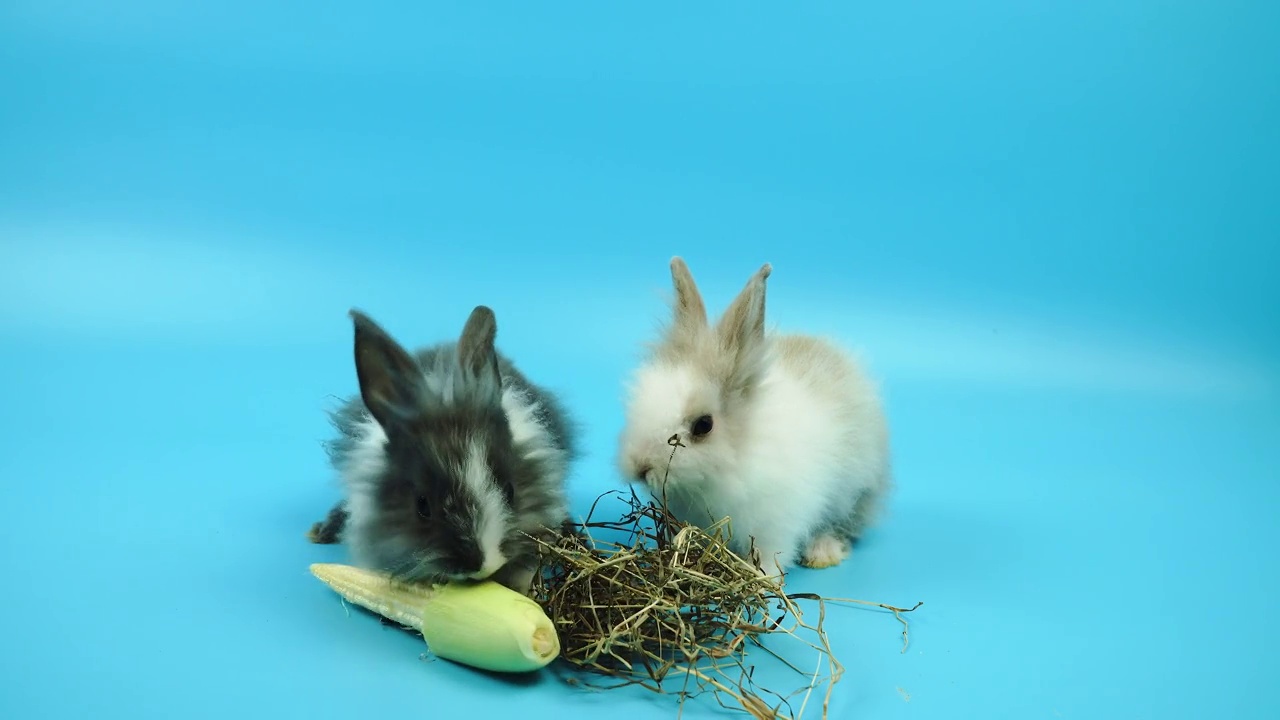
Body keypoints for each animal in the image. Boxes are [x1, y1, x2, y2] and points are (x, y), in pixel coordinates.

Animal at [616, 254, 890, 573]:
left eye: (703, 425)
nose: (640, 467)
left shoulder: (775, 522)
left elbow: (770, 552)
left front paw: (764, 577)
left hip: (853, 491)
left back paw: (822, 553)